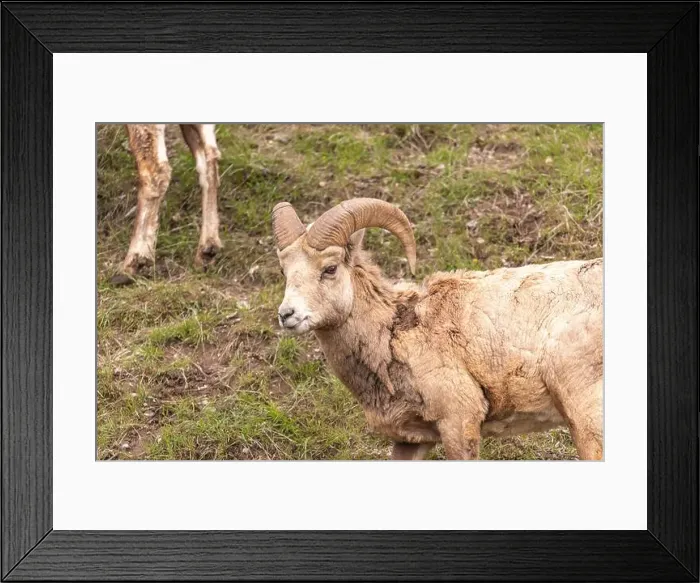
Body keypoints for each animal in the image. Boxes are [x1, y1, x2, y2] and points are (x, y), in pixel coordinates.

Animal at [272, 197, 603, 460]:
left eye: (330, 269)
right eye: (284, 271)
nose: (287, 315)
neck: (393, 330)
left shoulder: (459, 423)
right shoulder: (410, 441)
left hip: (586, 419)